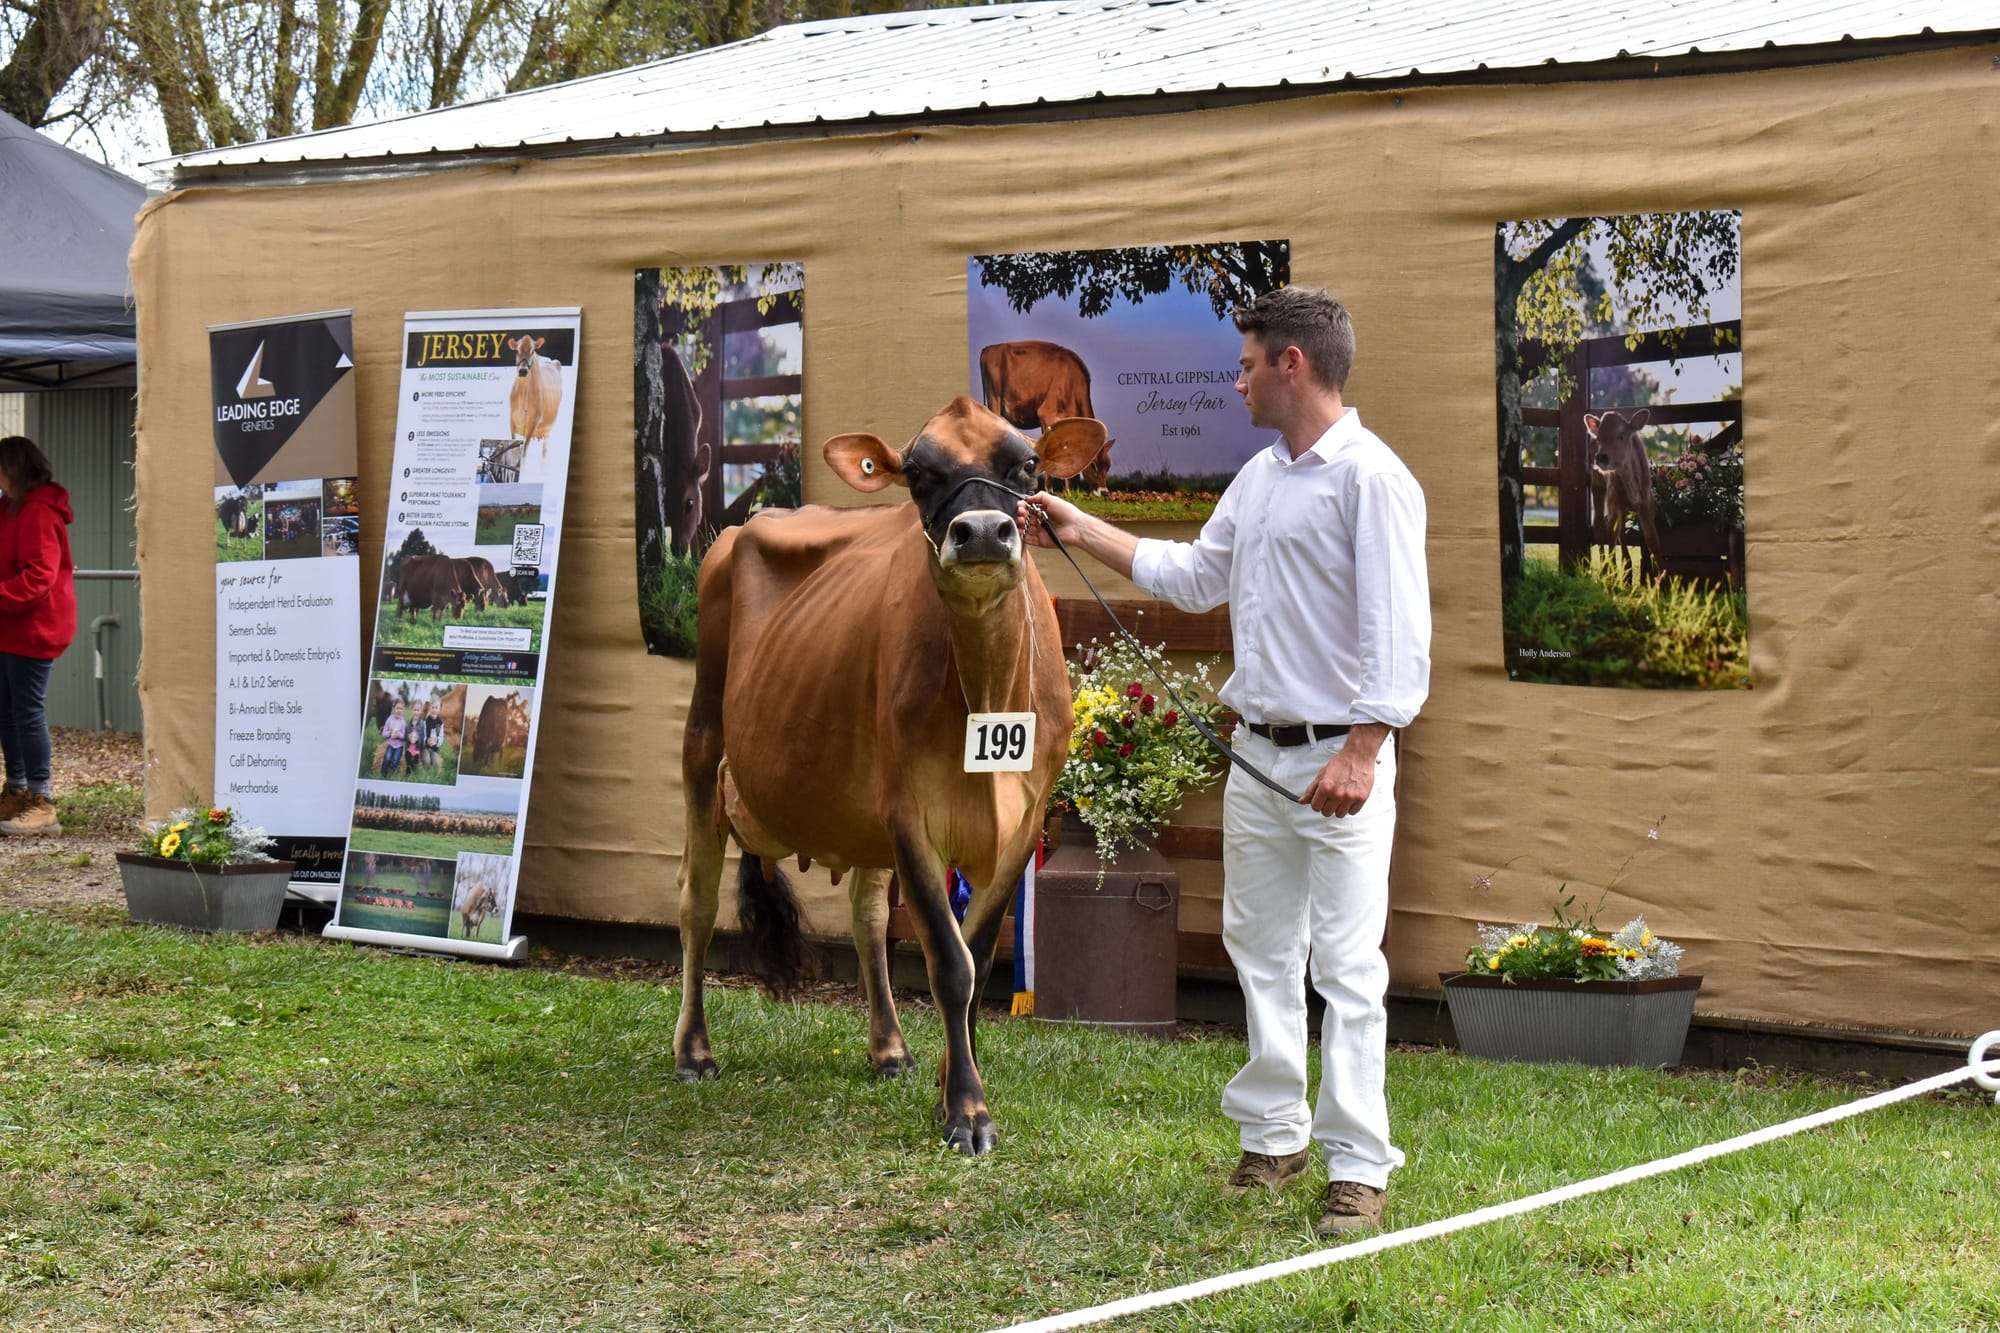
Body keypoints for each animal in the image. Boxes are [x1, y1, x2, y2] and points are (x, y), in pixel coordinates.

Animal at [507, 335, 564, 473]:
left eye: (532, 351)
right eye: (517, 350)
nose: (523, 371)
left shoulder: (533, 421)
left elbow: (524, 454)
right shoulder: (511, 420)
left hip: (548, 429)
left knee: (544, 453)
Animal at [674, 395, 1106, 1155]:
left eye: (1027, 465)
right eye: (919, 472)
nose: (983, 531)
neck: (987, 688)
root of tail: (748, 523)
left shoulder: (1024, 821)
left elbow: (979, 958)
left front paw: (948, 1082)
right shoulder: (910, 813)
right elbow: (950, 963)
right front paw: (967, 1112)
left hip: (862, 805)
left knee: (869, 919)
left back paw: (890, 1051)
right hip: (703, 743)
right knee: (696, 905)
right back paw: (694, 1052)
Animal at [978, 341, 1114, 494]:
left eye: (1108, 466)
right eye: (1094, 465)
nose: (1104, 492)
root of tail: (989, 348)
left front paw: (1069, 490)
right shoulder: (1045, 415)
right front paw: (1049, 489)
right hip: (994, 399)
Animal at [1586, 408, 1665, 568]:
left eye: (1621, 435)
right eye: (1599, 439)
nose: (1601, 458)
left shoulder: (1647, 503)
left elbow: (1653, 540)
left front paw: (1664, 575)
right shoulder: (1613, 500)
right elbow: (1611, 534)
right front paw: (1611, 572)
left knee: (1621, 530)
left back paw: (1627, 564)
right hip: (1598, 486)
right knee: (1599, 526)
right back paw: (1605, 567)